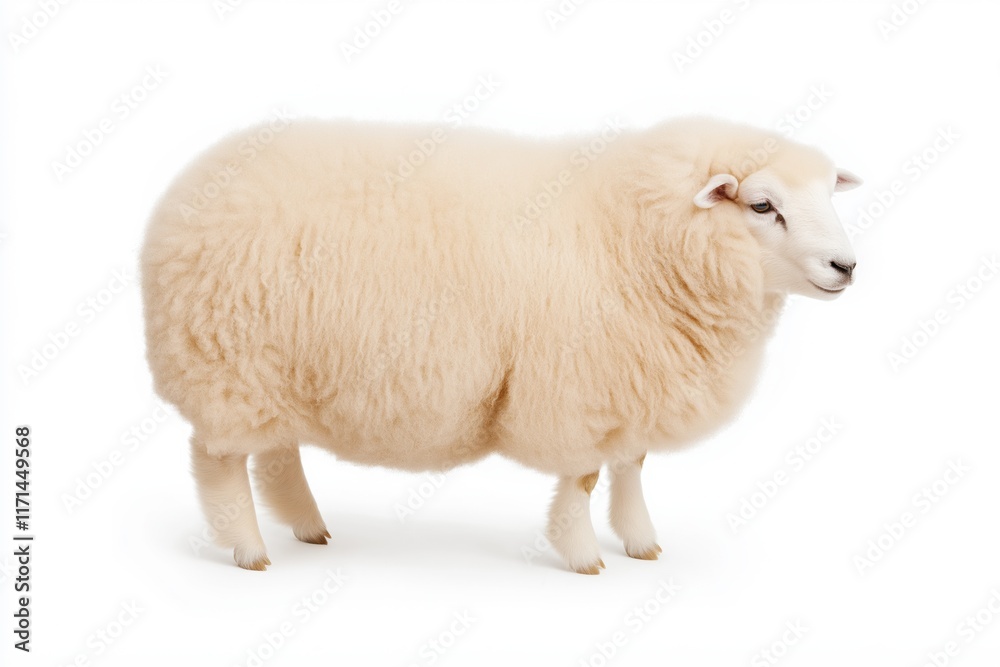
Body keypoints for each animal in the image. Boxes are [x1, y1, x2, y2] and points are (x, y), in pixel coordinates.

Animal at [141, 116, 860, 573]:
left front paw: (640, 542)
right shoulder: (578, 387)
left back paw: (307, 524)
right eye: (763, 206)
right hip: (227, 364)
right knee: (220, 463)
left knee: (277, 453)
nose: (846, 267)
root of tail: (190, 185)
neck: (628, 236)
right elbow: (586, 475)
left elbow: (631, 465)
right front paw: (584, 556)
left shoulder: (631, 381)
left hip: (280, 367)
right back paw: (248, 548)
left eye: (829, 194)